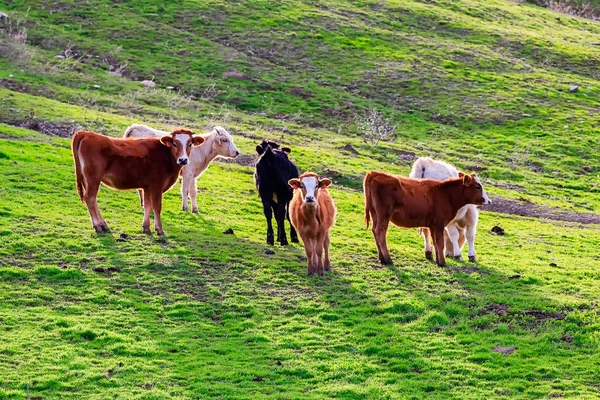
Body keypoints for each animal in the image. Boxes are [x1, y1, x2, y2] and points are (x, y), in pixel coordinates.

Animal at [72, 127, 204, 234]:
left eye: (190, 144)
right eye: (175, 143)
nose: (183, 160)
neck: (165, 155)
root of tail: (86, 133)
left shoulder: (147, 187)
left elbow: (147, 206)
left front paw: (146, 228)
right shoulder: (157, 186)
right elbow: (157, 206)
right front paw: (159, 230)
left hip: (87, 179)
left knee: (91, 200)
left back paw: (103, 225)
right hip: (93, 178)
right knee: (90, 198)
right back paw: (99, 226)